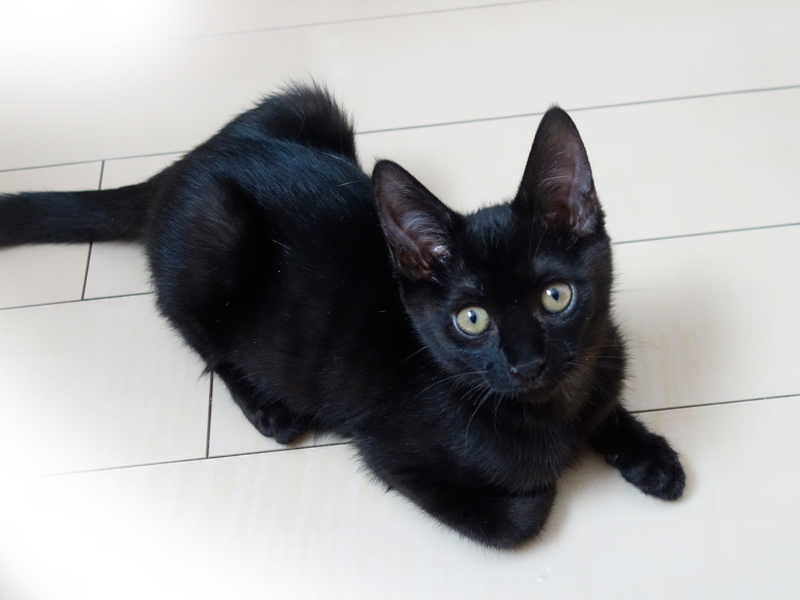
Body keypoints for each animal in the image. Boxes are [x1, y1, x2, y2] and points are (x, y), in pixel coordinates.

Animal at [0, 84, 685, 549]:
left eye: (556, 297)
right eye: (471, 319)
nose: (526, 363)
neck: (550, 406)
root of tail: (181, 167)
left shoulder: (595, 360)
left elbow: (605, 405)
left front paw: (649, 456)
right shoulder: (387, 452)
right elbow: (524, 512)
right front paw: (556, 473)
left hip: (311, 104)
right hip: (217, 228)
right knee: (194, 330)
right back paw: (268, 406)